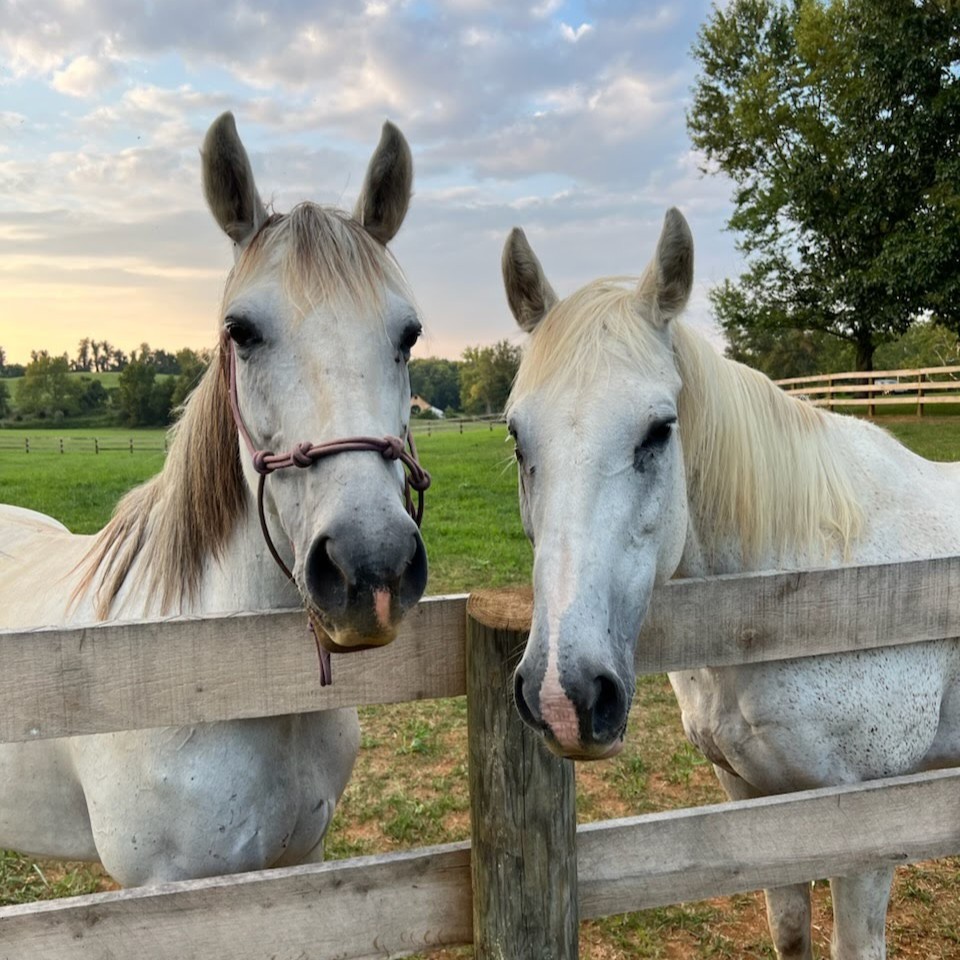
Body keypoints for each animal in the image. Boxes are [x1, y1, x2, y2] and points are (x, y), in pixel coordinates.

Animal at [500, 208, 960, 960]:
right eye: (517, 439)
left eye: (660, 430)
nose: (566, 696)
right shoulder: (749, 794)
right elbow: (790, 930)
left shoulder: (867, 826)